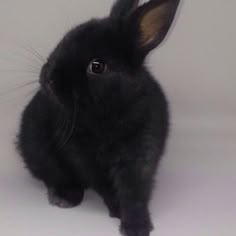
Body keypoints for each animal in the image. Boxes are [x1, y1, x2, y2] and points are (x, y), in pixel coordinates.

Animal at [17, 0, 180, 235]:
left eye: (97, 66)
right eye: (64, 41)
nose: (48, 78)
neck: (108, 114)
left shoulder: (141, 156)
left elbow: (135, 192)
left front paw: (137, 225)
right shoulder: (84, 160)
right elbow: (106, 187)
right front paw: (118, 212)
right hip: (35, 149)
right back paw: (65, 197)